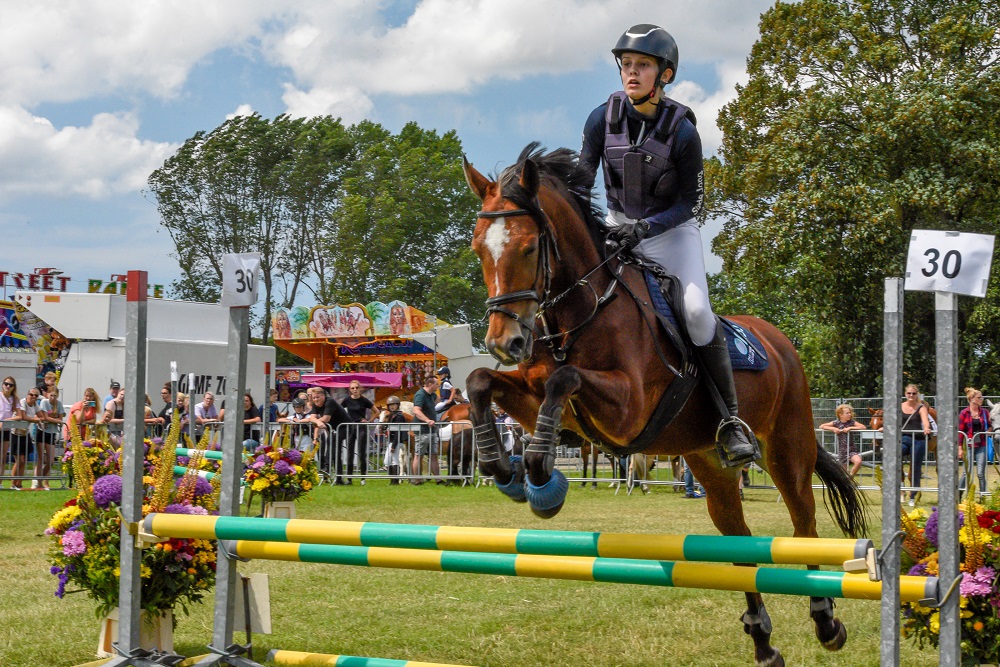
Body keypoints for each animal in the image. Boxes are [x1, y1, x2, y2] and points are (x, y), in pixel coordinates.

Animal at [460, 144, 868, 664]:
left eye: (530, 247)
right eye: (478, 248)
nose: (504, 342)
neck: (584, 311)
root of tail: (779, 342)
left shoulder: (627, 410)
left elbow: (564, 379)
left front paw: (537, 471)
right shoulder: (537, 397)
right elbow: (479, 381)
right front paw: (500, 467)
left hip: (788, 450)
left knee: (803, 523)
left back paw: (825, 619)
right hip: (709, 463)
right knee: (740, 542)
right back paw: (762, 640)